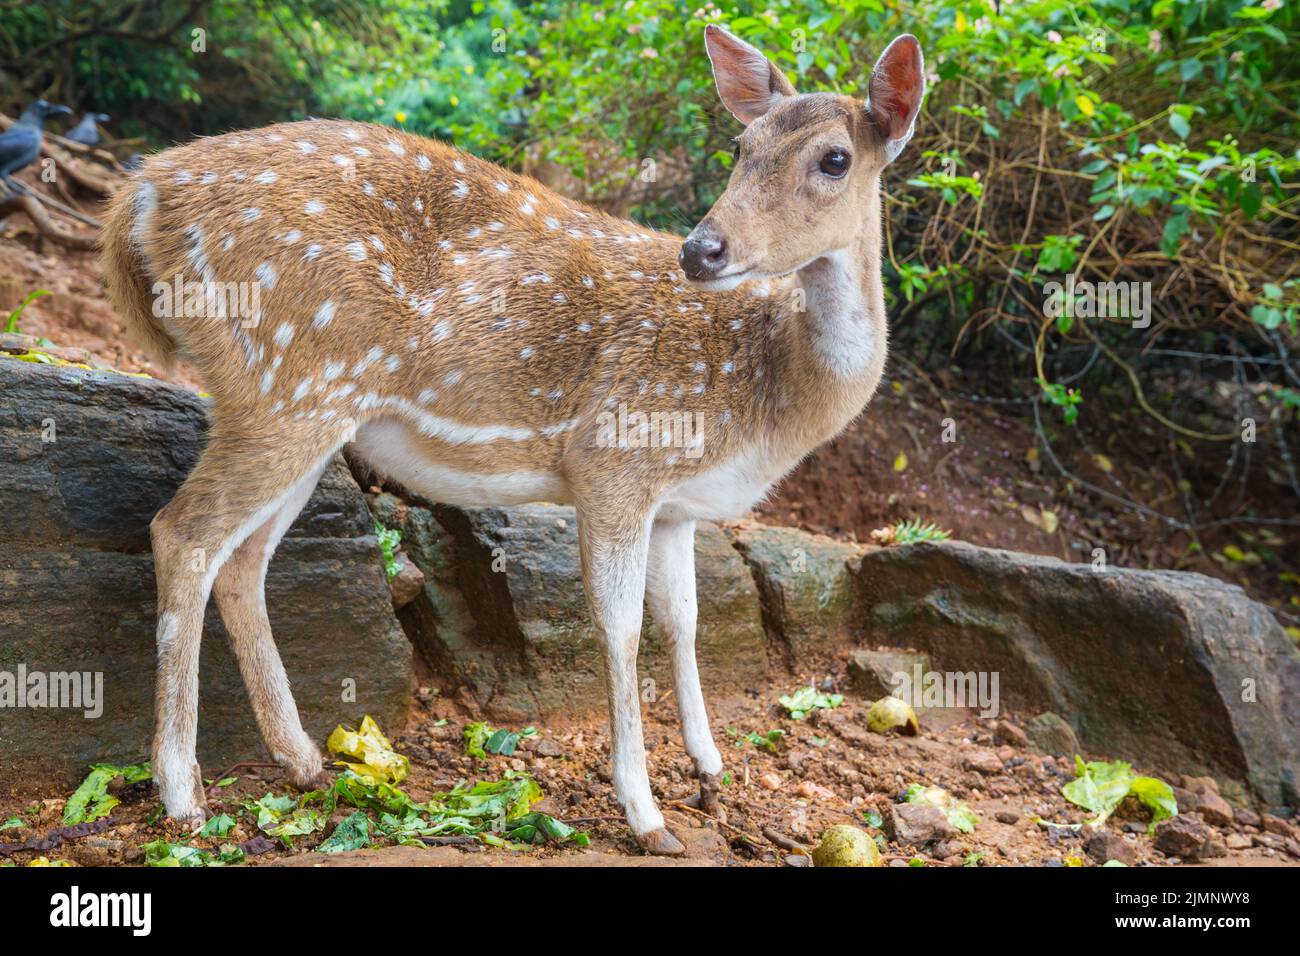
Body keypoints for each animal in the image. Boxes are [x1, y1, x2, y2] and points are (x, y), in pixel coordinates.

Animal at [99, 24, 924, 856]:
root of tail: (138, 198)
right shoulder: (613, 457)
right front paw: (646, 814)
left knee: (241, 561)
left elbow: (684, 622)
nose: (702, 251)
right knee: (183, 534)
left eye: (834, 159)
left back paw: (301, 761)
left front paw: (709, 770)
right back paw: (181, 792)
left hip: (304, 406)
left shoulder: (677, 506)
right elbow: (621, 628)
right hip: (286, 382)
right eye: (739, 145)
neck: (765, 394)